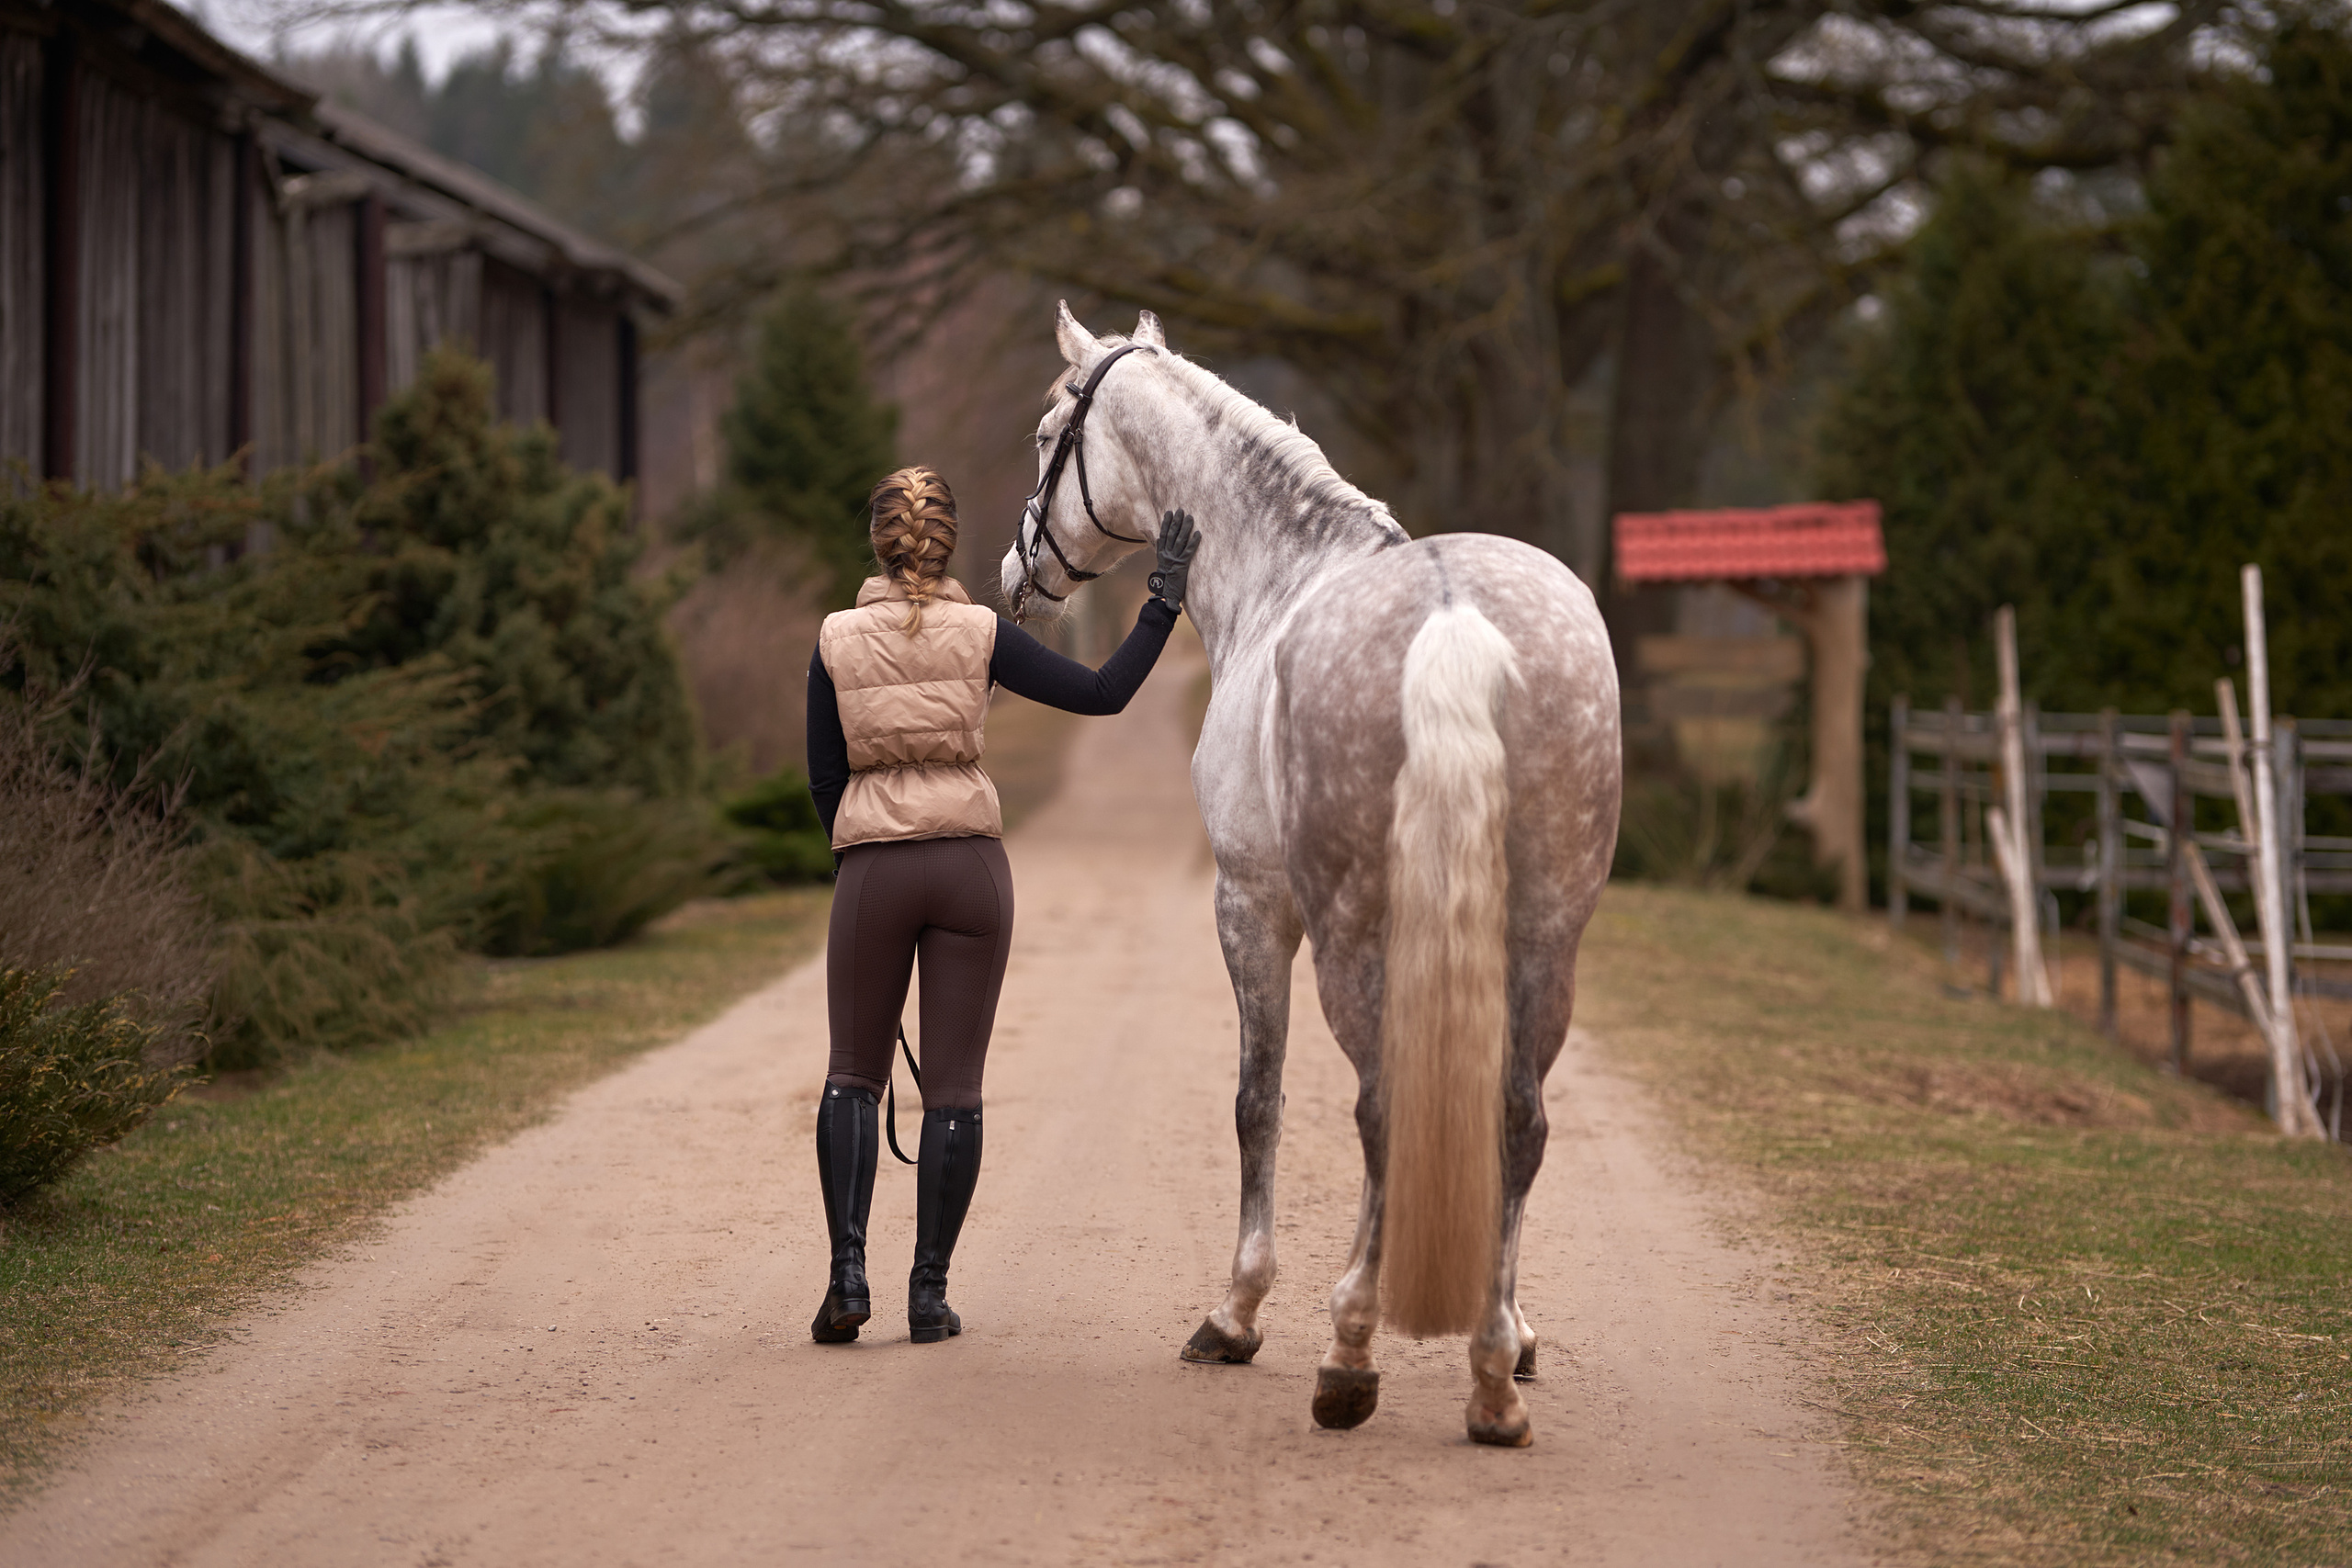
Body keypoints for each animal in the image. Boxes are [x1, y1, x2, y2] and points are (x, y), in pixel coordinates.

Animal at [1001, 304, 1621, 1447]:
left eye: (1046, 434)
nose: (1018, 579)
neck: (1281, 574)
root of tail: (1451, 620)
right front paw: (1518, 1333)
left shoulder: (1250, 904)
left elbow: (1259, 1100)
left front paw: (1236, 1313)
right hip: (1547, 937)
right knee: (1518, 1118)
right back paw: (1492, 1375)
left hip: (1350, 937)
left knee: (1380, 1111)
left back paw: (1348, 1359)